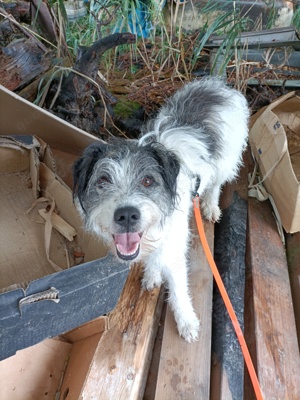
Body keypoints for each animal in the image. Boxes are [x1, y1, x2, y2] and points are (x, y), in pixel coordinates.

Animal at [72, 76, 248, 342]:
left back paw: (209, 206)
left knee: (217, 183)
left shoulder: (173, 245)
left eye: (147, 181)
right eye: (103, 180)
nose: (126, 215)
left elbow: (178, 287)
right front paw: (153, 275)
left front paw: (186, 321)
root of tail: (216, 84)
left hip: (227, 161)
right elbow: (153, 260)